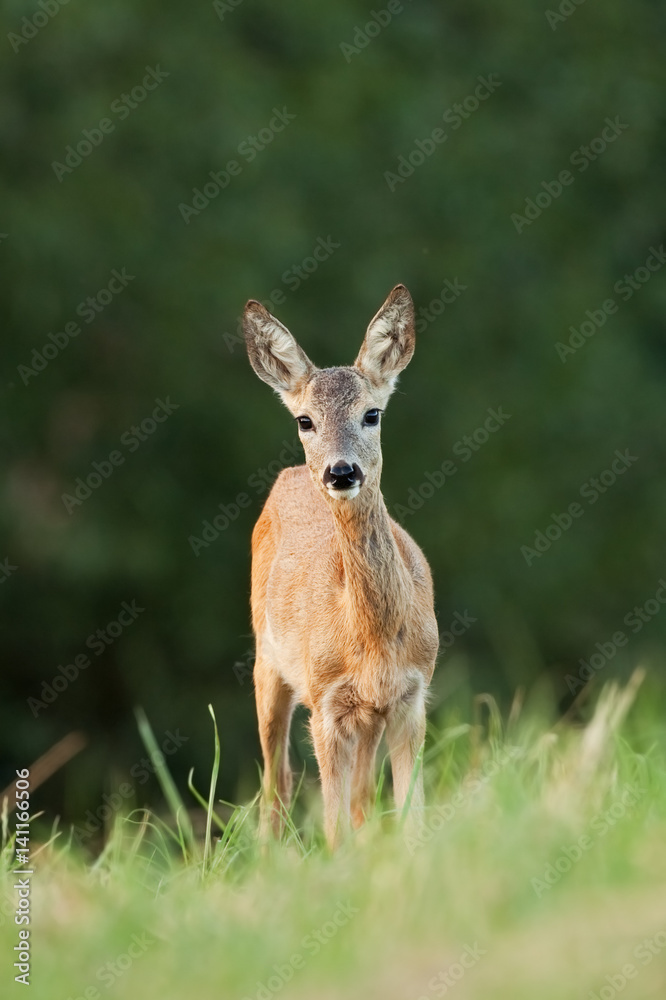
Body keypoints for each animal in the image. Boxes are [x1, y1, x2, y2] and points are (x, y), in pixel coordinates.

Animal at [242, 284, 439, 848]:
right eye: (305, 420)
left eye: (373, 414)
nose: (341, 471)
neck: (372, 638)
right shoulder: (326, 703)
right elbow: (332, 830)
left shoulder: (411, 696)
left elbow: (410, 817)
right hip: (268, 661)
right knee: (277, 782)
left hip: (367, 718)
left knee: (360, 799)